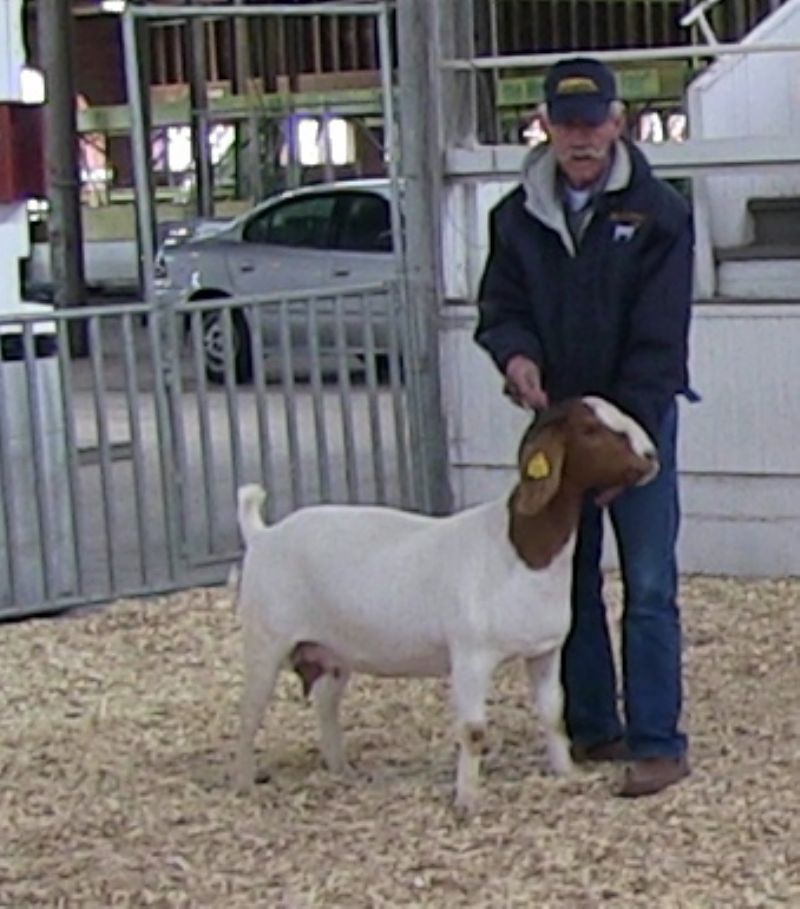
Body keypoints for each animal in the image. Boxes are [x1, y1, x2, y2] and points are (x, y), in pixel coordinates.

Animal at [231, 394, 656, 812]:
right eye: (589, 429)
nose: (651, 456)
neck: (515, 551)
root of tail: (262, 534)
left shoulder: (545, 651)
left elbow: (553, 713)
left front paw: (566, 773)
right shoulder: (470, 656)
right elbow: (473, 731)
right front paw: (466, 802)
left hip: (333, 651)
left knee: (325, 705)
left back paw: (341, 770)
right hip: (266, 639)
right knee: (249, 711)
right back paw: (245, 785)